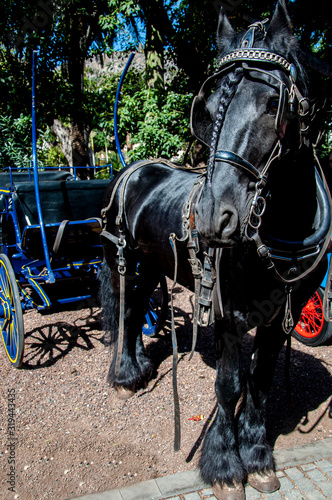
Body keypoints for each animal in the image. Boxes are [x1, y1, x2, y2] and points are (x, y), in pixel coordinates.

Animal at [100, 1, 330, 498]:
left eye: (273, 104)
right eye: (205, 110)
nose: (210, 217)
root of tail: (133, 167)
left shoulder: (282, 314)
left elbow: (260, 381)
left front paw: (258, 455)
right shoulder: (228, 314)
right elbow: (229, 384)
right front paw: (225, 464)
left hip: (153, 263)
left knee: (139, 307)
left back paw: (143, 363)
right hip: (124, 260)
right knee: (126, 310)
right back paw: (125, 376)